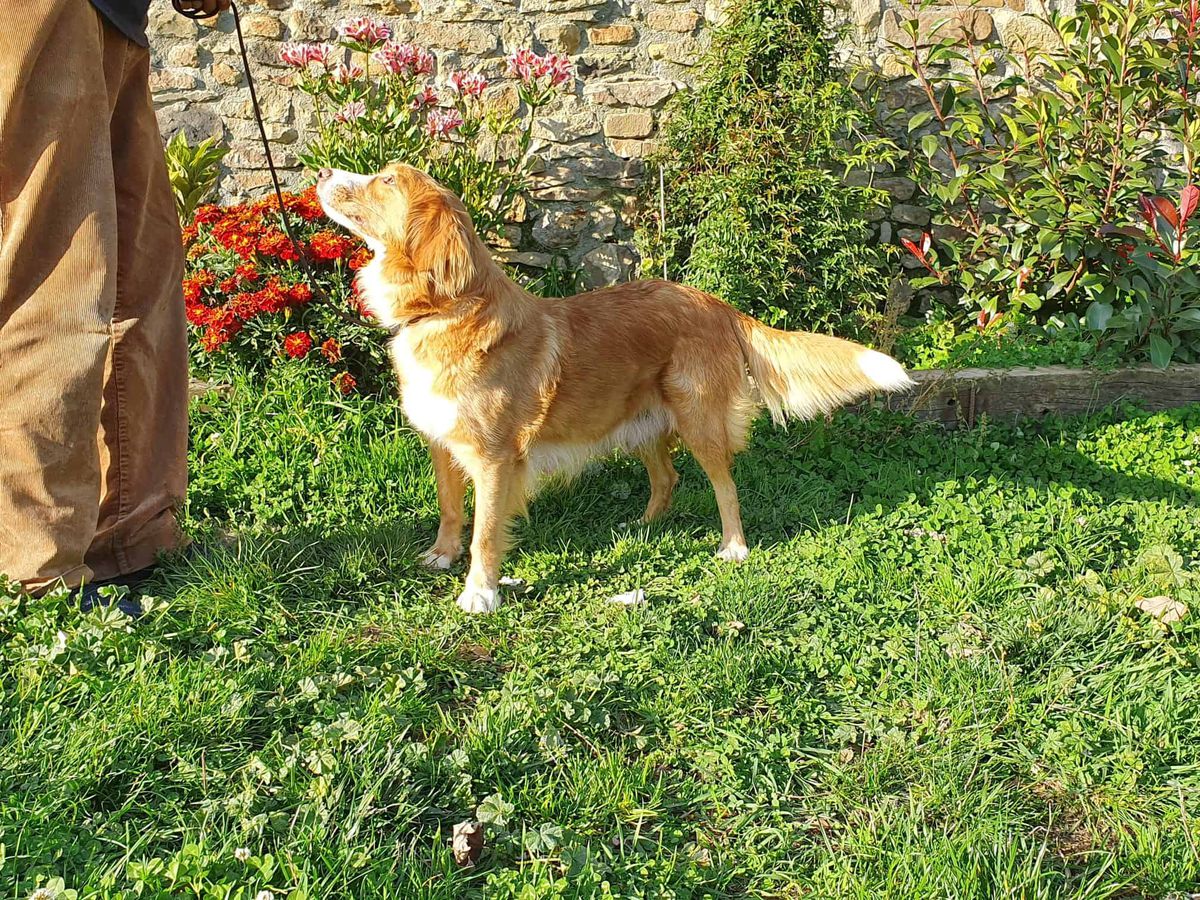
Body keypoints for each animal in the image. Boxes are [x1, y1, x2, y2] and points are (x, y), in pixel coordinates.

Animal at [314, 164, 912, 614]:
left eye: (387, 181)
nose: (321, 173)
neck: (446, 309)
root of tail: (715, 304)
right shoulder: (441, 441)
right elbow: (448, 508)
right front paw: (442, 554)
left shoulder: (493, 458)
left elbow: (485, 532)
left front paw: (479, 593)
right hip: (640, 424)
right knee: (667, 478)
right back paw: (642, 527)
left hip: (699, 421)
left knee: (725, 486)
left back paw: (733, 548)